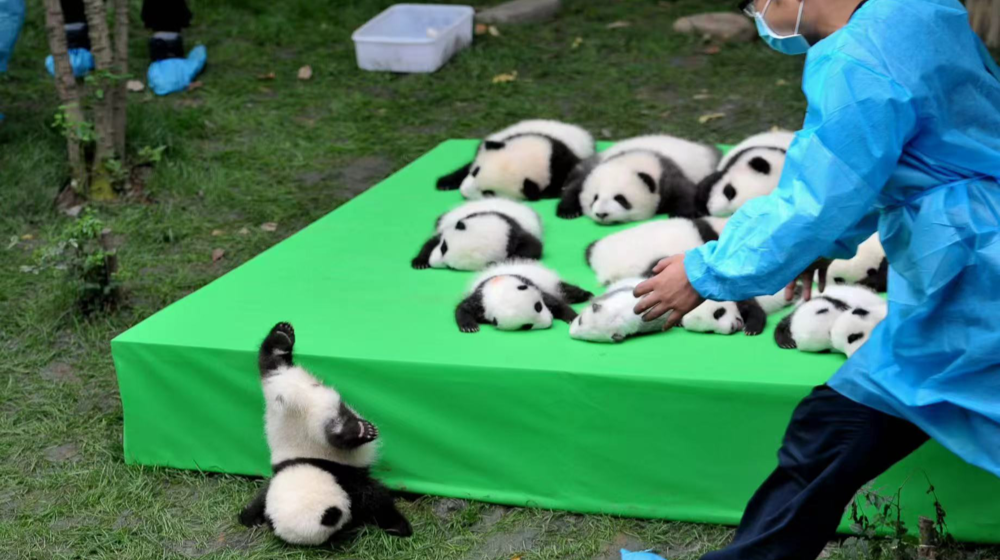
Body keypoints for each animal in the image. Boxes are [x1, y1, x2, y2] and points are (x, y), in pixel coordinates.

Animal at [239, 322, 411, 545]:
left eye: (335, 521)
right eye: (335, 530)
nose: (345, 532)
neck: (309, 465)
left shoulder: (341, 475)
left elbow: (375, 499)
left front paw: (398, 526)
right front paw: (249, 516)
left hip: (282, 403)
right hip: (282, 391)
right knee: (272, 363)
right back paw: (281, 338)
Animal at [411, 199, 543, 271]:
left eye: (450, 266)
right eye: (443, 247)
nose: (432, 262)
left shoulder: (516, 232)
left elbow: (533, 246)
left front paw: (511, 259)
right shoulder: (452, 223)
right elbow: (432, 241)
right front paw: (420, 262)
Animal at [436, 120, 596, 201]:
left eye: (488, 193)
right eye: (475, 172)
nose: (463, 192)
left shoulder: (561, 168)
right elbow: (468, 165)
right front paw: (445, 182)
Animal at [456, 259, 592, 333]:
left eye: (538, 307)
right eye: (527, 326)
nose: (549, 322)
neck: (499, 289)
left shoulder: (532, 285)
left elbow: (556, 303)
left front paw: (573, 318)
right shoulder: (480, 299)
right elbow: (463, 308)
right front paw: (469, 326)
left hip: (552, 282)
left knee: (565, 290)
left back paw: (586, 294)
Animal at [556, 135, 720, 224]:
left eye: (620, 199)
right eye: (595, 198)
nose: (602, 214)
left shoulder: (667, 175)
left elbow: (685, 190)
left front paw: (682, 213)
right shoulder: (594, 168)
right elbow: (576, 186)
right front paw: (568, 211)